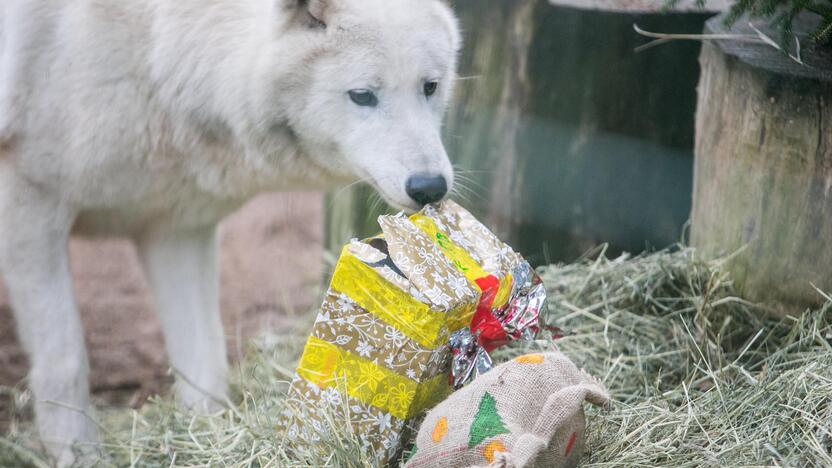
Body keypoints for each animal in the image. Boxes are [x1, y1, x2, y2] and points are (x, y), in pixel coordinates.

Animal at [0, 0, 458, 464]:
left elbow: (203, 358)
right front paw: (79, 454)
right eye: (363, 95)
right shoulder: (30, 204)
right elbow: (65, 361)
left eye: (430, 87)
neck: (154, 51)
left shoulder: (177, 231)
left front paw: (206, 433)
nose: (429, 186)